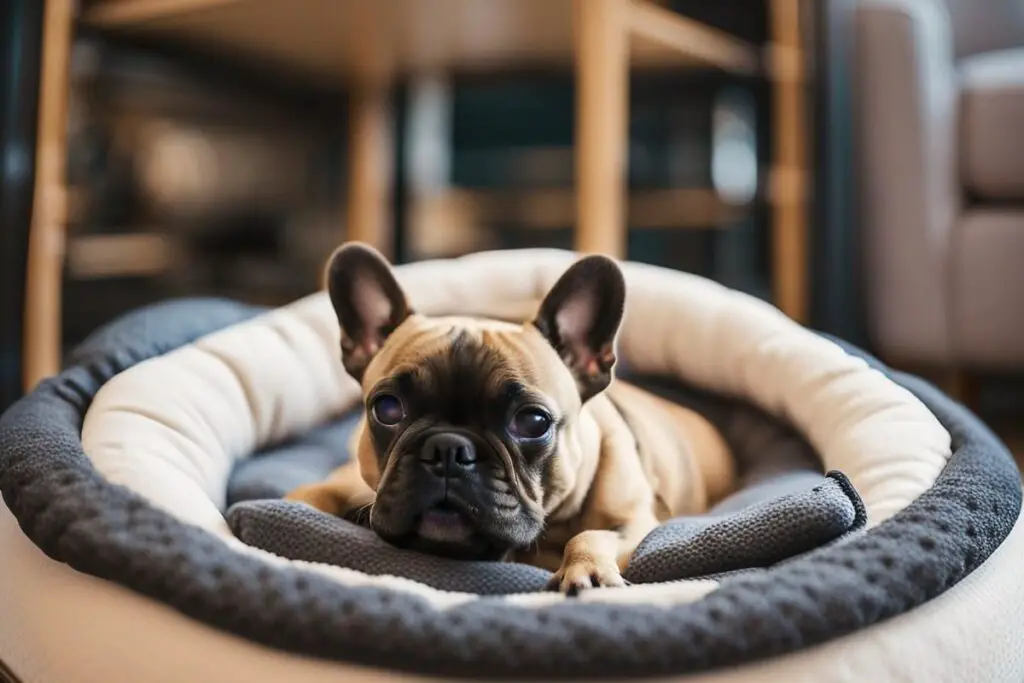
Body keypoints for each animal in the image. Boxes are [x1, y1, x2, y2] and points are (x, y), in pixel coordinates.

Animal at [288, 244, 737, 593]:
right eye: (387, 409)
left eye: (533, 422)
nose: (448, 448)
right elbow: (310, 495)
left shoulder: (635, 523)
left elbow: (592, 534)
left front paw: (587, 569)